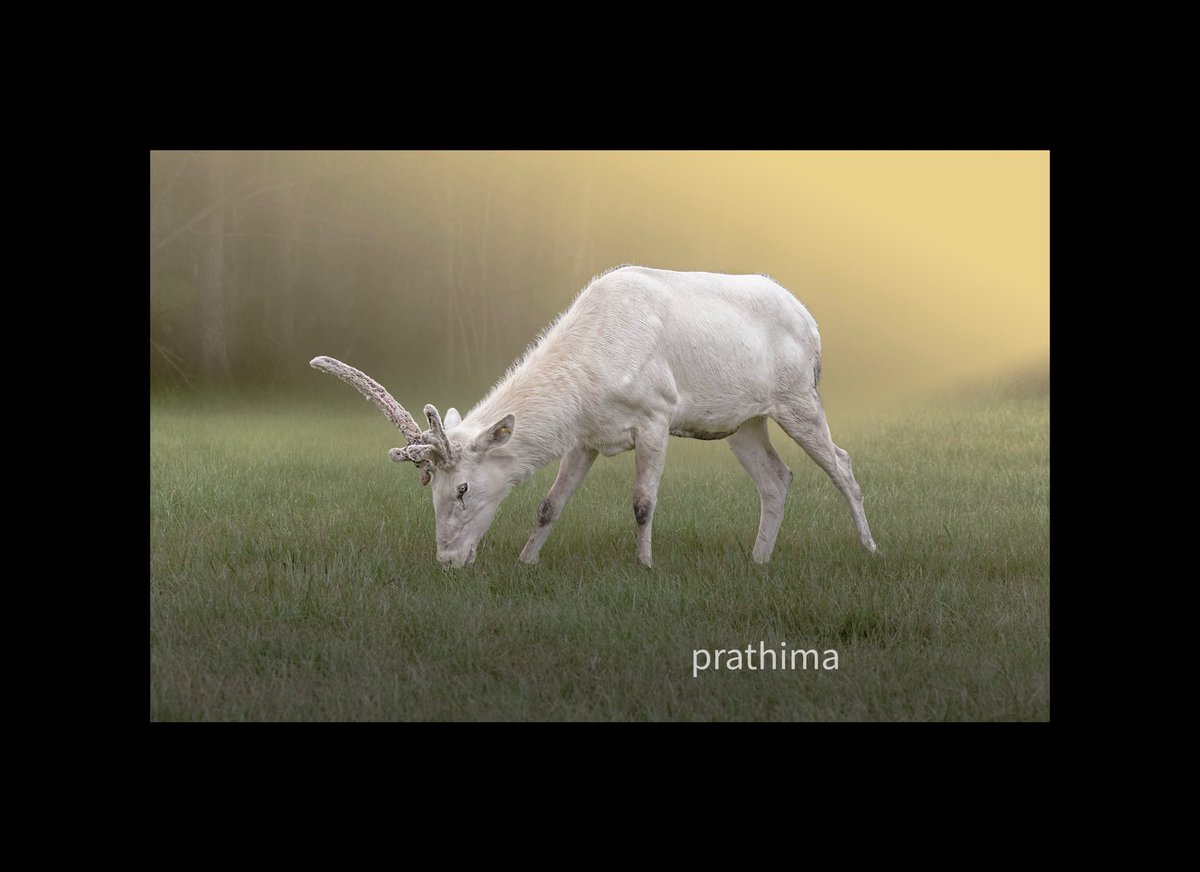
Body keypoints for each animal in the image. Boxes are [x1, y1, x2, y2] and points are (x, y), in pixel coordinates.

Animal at [311, 265, 878, 568]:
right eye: (432, 490)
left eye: (464, 488)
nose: (448, 561)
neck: (587, 384)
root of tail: (812, 322)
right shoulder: (584, 438)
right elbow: (548, 504)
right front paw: (526, 561)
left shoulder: (656, 414)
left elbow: (643, 502)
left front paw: (645, 564)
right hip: (741, 422)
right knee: (777, 477)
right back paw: (757, 560)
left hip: (798, 397)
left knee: (843, 463)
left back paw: (869, 547)